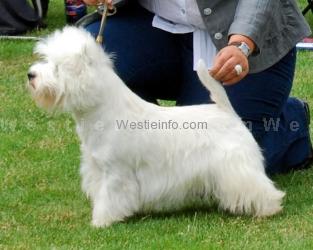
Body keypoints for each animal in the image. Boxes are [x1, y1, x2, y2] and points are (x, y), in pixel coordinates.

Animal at [28, 26, 284, 227]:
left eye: (57, 67)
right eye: (46, 60)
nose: (30, 74)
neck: (100, 110)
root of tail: (226, 110)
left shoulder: (116, 172)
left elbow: (110, 197)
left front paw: (101, 221)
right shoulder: (98, 168)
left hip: (235, 165)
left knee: (256, 186)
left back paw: (269, 208)